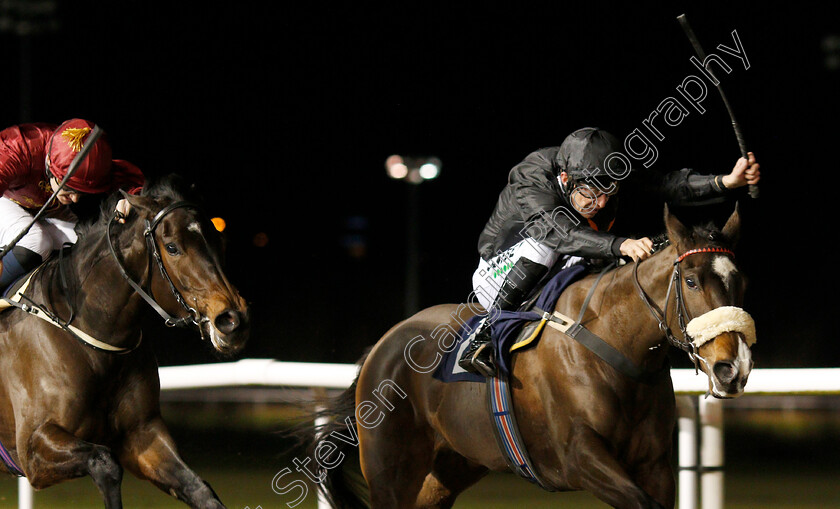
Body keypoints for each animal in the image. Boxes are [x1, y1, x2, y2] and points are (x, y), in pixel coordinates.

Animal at [0, 177, 249, 506]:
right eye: (172, 247)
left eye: (219, 243)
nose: (233, 321)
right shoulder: (32, 448)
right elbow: (105, 463)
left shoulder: (142, 434)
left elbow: (199, 489)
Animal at [304, 204, 756, 508]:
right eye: (692, 281)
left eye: (742, 282)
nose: (732, 368)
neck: (613, 348)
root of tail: (380, 347)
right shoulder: (578, 457)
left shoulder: (655, 464)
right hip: (388, 469)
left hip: (448, 467)